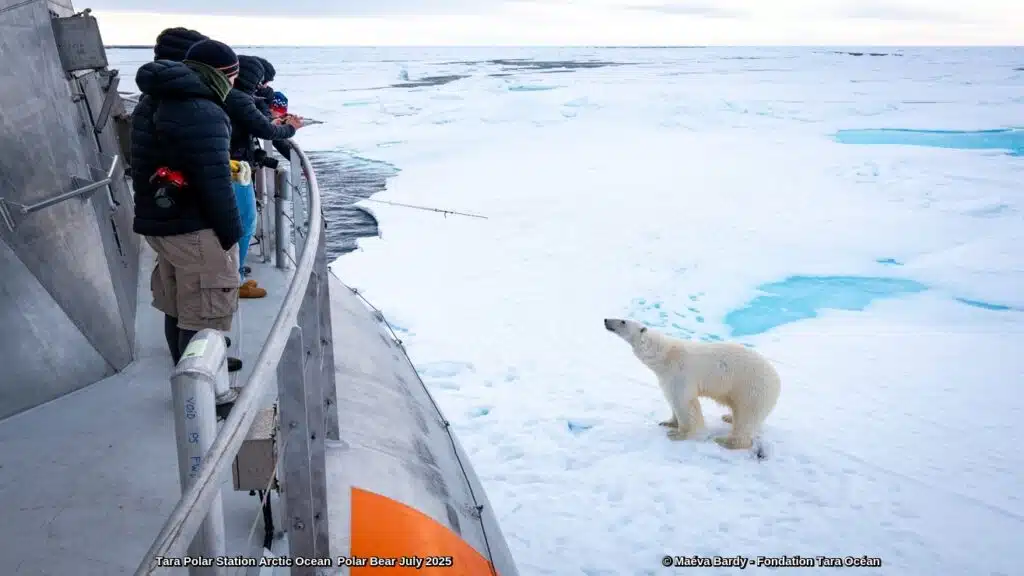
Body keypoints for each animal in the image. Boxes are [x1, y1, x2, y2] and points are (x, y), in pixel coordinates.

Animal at [603, 318, 781, 450]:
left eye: (623, 321)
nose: (606, 320)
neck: (665, 356)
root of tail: (777, 381)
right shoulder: (667, 377)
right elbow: (671, 399)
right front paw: (668, 422)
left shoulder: (680, 374)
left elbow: (684, 403)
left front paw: (678, 434)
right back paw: (728, 417)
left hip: (751, 388)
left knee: (746, 417)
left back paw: (725, 441)